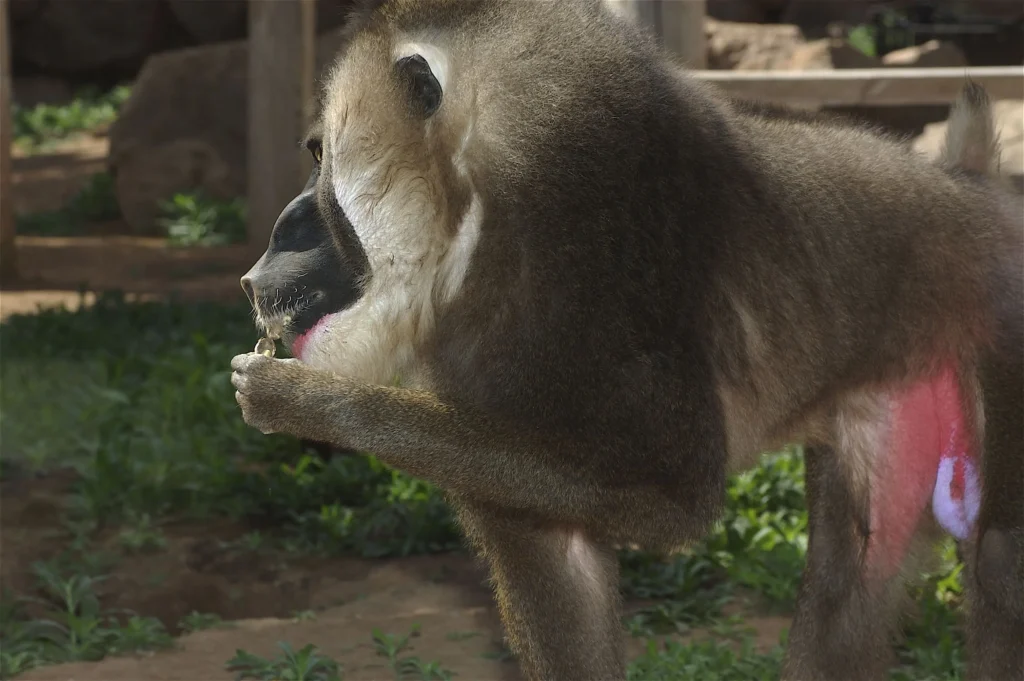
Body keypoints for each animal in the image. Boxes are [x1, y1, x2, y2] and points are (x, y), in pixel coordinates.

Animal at [230, 1, 1023, 679]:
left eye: (318, 156)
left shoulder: (601, 270)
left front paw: (296, 399)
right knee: (846, 593)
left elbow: (676, 495)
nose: (274, 240)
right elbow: (562, 562)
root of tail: (979, 195)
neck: (480, 208)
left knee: (1001, 562)